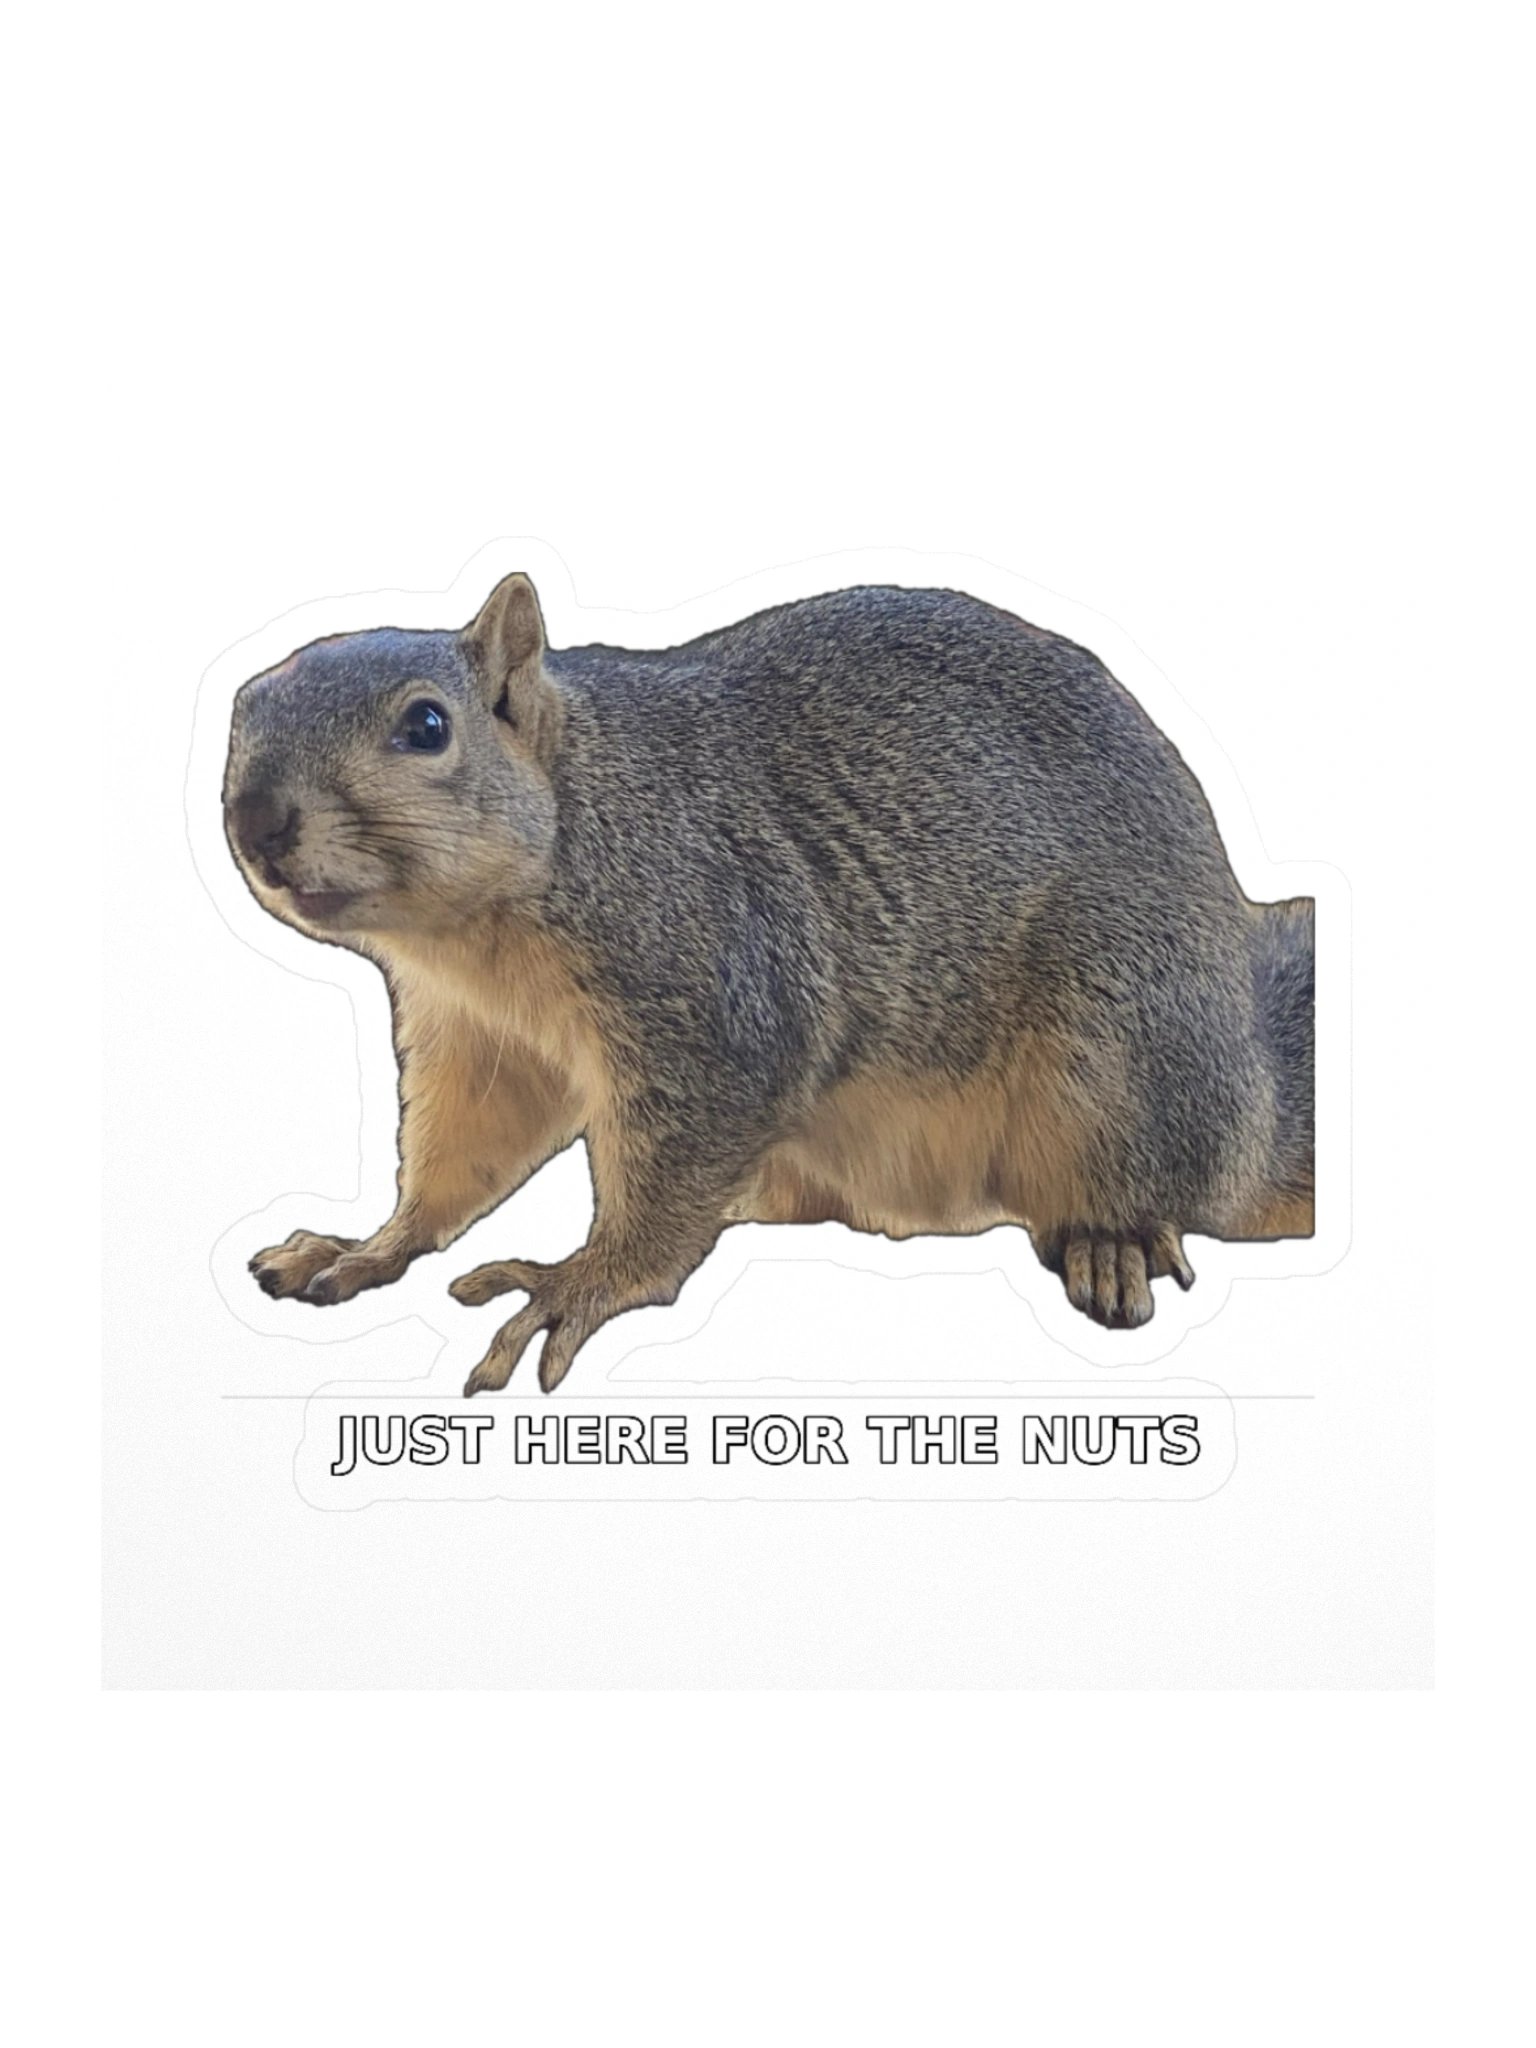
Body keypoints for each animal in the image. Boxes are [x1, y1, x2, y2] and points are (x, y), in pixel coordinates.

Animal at [224, 574, 1315, 1394]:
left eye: (427, 724)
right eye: (241, 713)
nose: (257, 819)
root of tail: (1257, 1087)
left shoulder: (720, 992)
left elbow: (668, 1177)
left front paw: (579, 1281)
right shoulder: (481, 1041)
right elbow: (460, 1158)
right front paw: (367, 1245)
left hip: (1116, 1044)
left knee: (1160, 1181)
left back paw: (1109, 1242)